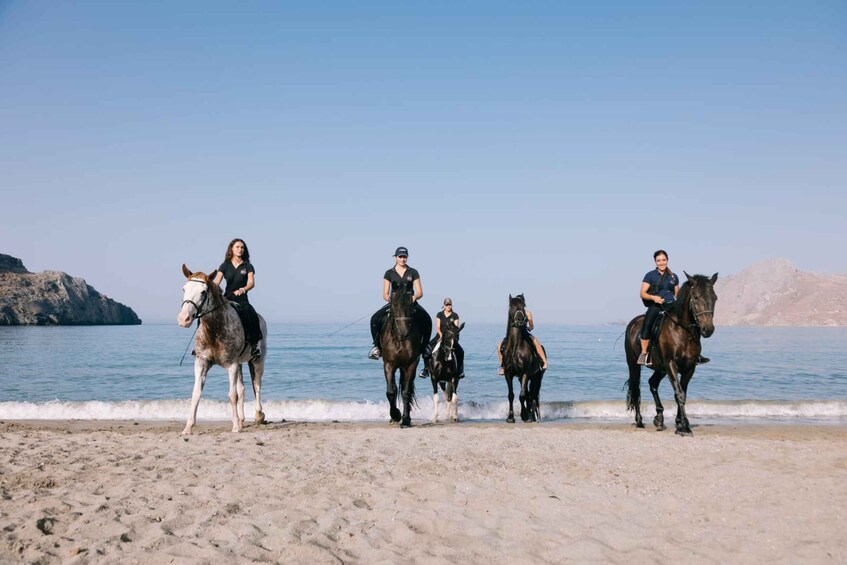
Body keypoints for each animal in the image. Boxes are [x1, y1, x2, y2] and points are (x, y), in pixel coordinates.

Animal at [173, 262, 264, 434]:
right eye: (183, 289)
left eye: (203, 292)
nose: (183, 319)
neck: (214, 330)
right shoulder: (201, 363)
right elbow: (196, 394)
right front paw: (188, 427)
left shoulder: (232, 365)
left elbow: (232, 395)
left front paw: (235, 427)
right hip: (241, 364)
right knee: (242, 389)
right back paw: (242, 420)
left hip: (257, 361)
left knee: (257, 386)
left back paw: (259, 415)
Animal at [380, 278, 428, 428]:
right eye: (394, 304)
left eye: (410, 304)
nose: (404, 332)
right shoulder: (389, 364)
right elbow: (391, 391)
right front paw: (395, 415)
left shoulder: (411, 364)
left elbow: (406, 392)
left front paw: (405, 419)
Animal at [500, 296, 548, 424]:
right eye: (512, 306)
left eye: (523, 306)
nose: (520, 320)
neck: (515, 346)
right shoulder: (509, 373)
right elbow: (511, 395)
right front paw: (510, 417)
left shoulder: (525, 373)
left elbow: (522, 395)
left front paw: (525, 416)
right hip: (523, 378)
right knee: (529, 395)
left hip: (537, 378)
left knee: (534, 396)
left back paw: (533, 417)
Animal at [628, 270, 720, 434]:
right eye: (696, 297)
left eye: (714, 297)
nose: (708, 329)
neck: (682, 331)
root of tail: (633, 323)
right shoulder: (671, 364)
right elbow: (679, 394)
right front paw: (685, 427)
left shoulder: (689, 367)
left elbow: (683, 392)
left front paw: (680, 423)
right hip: (634, 365)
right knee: (636, 388)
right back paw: (639, 421)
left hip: (660, 368)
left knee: (653, 383)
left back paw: (659, 418)